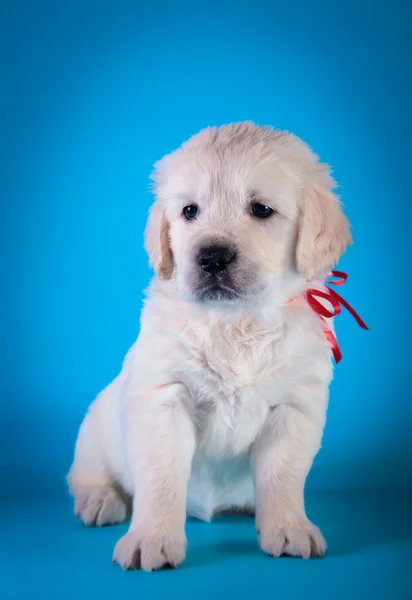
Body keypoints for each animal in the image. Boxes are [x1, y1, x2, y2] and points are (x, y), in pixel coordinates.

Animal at [67, 122, 350, 572]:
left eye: (261, 209)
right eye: (189, 211)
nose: (212, 257)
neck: (236, 321)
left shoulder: (294, 407)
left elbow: (283, 475)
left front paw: (289, 527)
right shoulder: (163, 398)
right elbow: (160, 477)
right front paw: (151, 538)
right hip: (97, 425)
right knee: (86, 473)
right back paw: (100, 499)